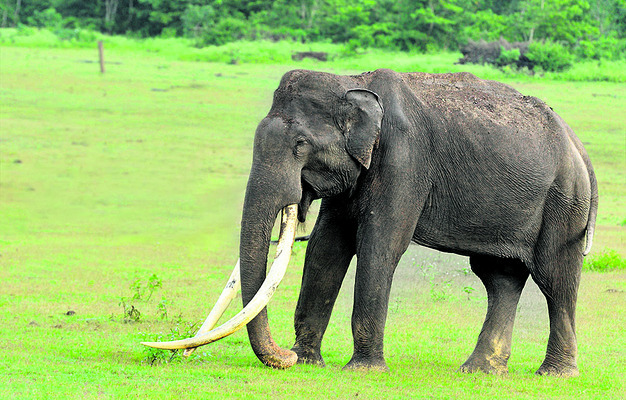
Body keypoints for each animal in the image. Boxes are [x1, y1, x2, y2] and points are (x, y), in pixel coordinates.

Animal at [144, 69, 596, 378]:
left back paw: (554, 374)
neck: (351, 81)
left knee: (555, 277)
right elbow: (327, 246)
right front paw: (308, 362)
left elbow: (380, 245)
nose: (285, 358)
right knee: (499, 276)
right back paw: (479, 370)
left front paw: (361, 369)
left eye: (300, 145)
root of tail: (577, 143)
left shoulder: (404, 159)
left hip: (564, 199)